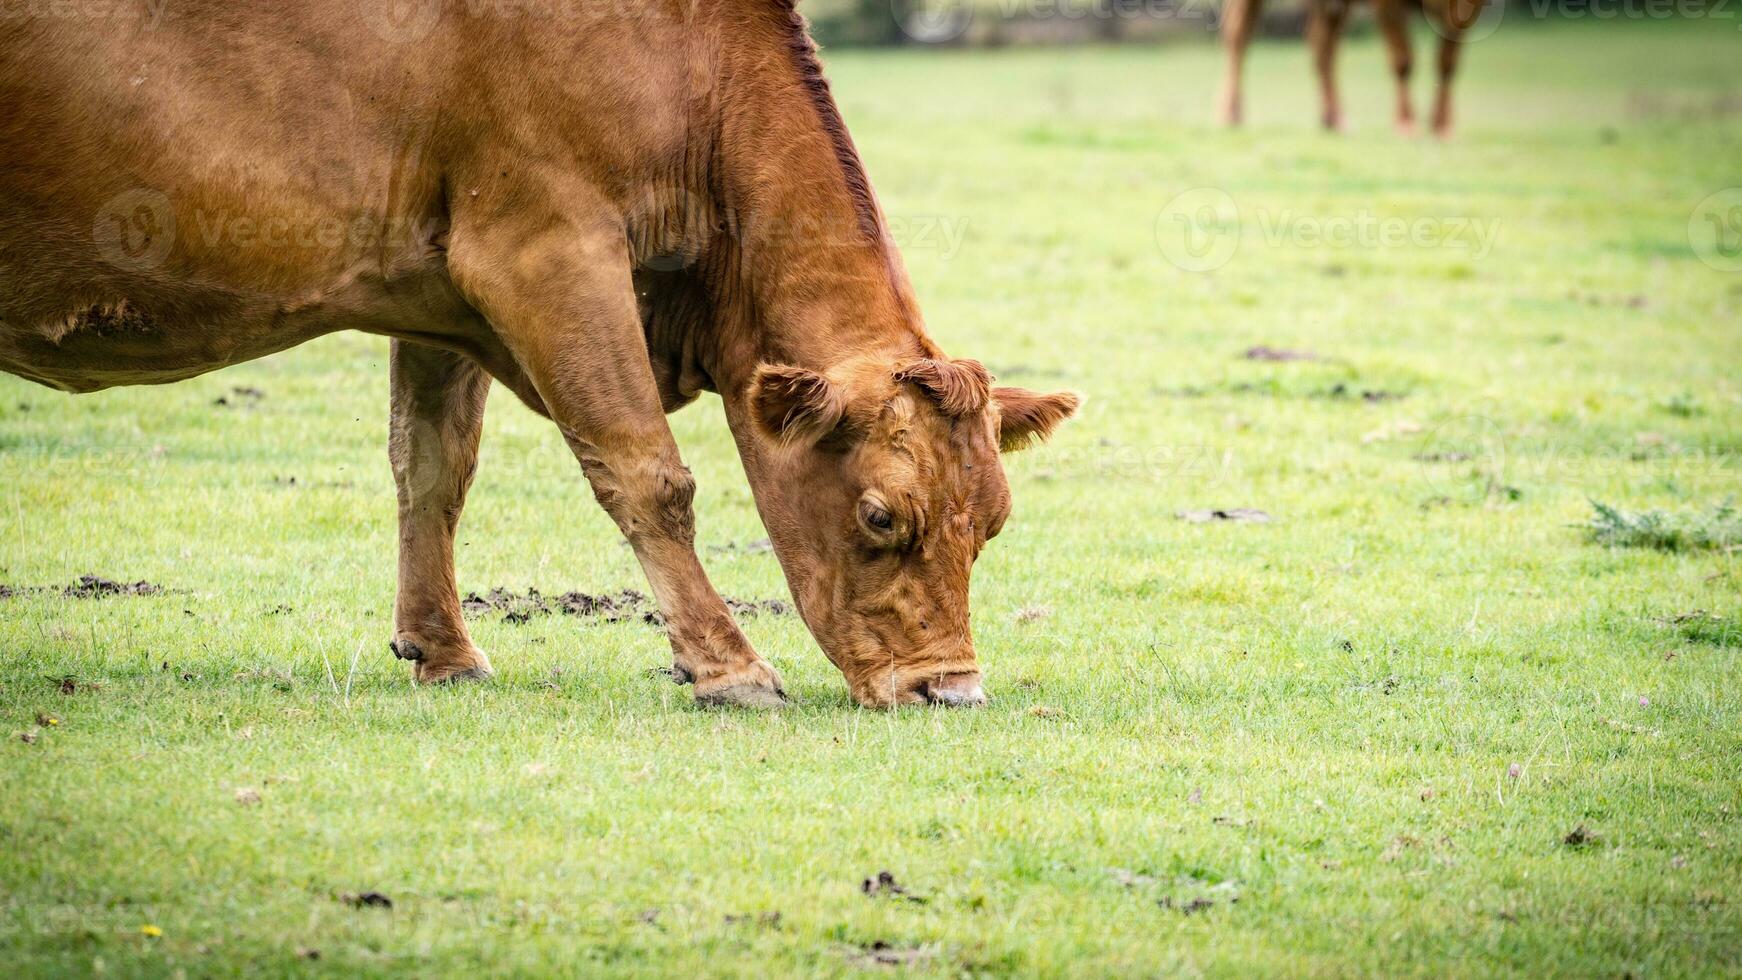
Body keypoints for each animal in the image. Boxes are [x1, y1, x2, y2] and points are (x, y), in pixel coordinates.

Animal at [0, 0, 1080, 706]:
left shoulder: (436, 292)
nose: (954, 691)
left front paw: (442, 651)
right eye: (879, 515)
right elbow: (648, 474)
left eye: (992, 521)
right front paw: (727, 666)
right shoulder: (548, 252)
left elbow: (432, 466)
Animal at [1219, 0, 1491, 138]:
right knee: (1237, 32)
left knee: (1322, 44)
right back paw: (1230, 114)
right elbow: (1403, 60)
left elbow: (1447, 63)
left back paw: (1335, 119)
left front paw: (1441, 126)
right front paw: (1406, 123)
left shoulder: (1466, 8)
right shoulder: (1387, 5)